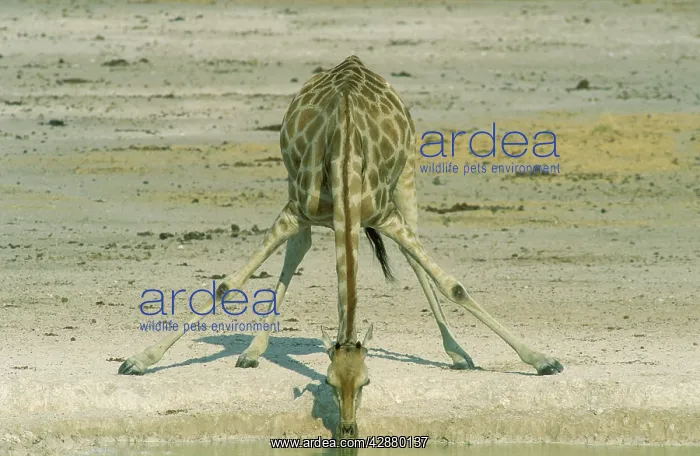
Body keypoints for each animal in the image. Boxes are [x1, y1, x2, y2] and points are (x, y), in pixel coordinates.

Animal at [118, 55, 564, 439]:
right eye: (330, 381)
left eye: (366, 380)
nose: (349, 429)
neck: (345, 159)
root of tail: (353, 61)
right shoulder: (295, 210)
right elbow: (228, 284)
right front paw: (139, 360)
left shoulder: (385, 213)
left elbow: (453, 285)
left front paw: (543, 360)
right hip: (295, 185)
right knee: (299, 247)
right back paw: (253, 350)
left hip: (407, 176)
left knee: (413, 258)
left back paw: (458, 353)